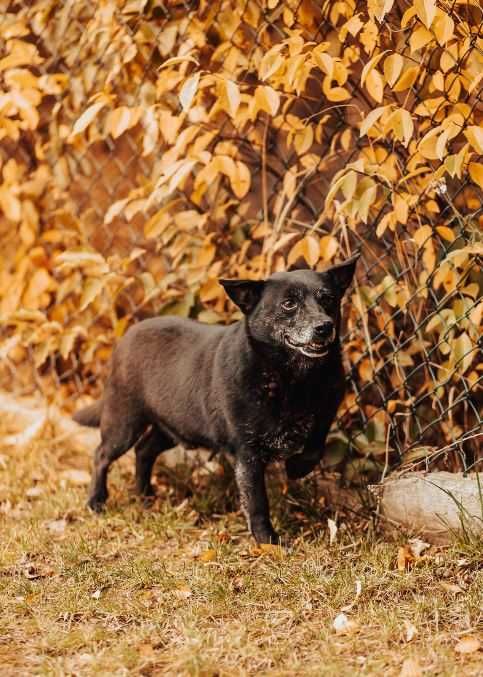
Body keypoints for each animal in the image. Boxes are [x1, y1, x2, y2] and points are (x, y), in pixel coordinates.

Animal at [73, 254, 358, 544]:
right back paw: (96, 501)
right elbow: (257, 503)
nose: (324, 327)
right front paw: (268, 542)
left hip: (175, 427)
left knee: (143, 451)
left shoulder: (325, 412)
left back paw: (145, 497)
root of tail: (126, 337)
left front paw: (297, 467)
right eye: (289, 303)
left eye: (328, 298)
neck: (294, 379)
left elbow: (314, 445)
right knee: (101, 455)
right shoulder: (247, 454)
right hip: (124, 424)